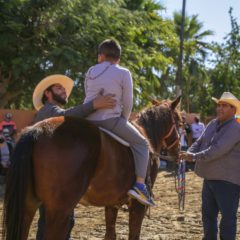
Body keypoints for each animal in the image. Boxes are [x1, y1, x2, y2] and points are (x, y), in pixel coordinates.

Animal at [1, 96, 180, 240]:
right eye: (180, 121)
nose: (177, 151)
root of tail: (37, 129)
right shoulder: (138, 206)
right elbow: (133, 235)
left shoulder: (112, 203)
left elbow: (110, 234)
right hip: (59, 211)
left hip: (28, 206)